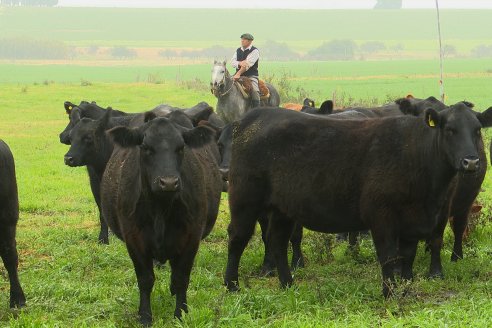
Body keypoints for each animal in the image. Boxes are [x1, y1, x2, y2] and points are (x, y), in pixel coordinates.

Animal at [101, 114, 220, 324]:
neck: (160, 210)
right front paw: (145, 316)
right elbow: (145, 279)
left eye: (181, 147)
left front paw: (180, 314)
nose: (169, 182)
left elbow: (181, 279)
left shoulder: (191, 238)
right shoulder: (134, 240)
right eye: (146, 147)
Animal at [225, 104, 492, 298]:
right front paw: (389, 294)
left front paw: (405, 288)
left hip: (283, 209)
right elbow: (388, 256)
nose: (471, 162)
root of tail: (256, 116)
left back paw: (288, 284)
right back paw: (231, 285)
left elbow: (407, 256)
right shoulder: (381, 216)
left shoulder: (413, 221)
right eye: (450, 130)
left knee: (277, 242)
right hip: (245, 199)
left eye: (477, 130)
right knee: (237, 239)